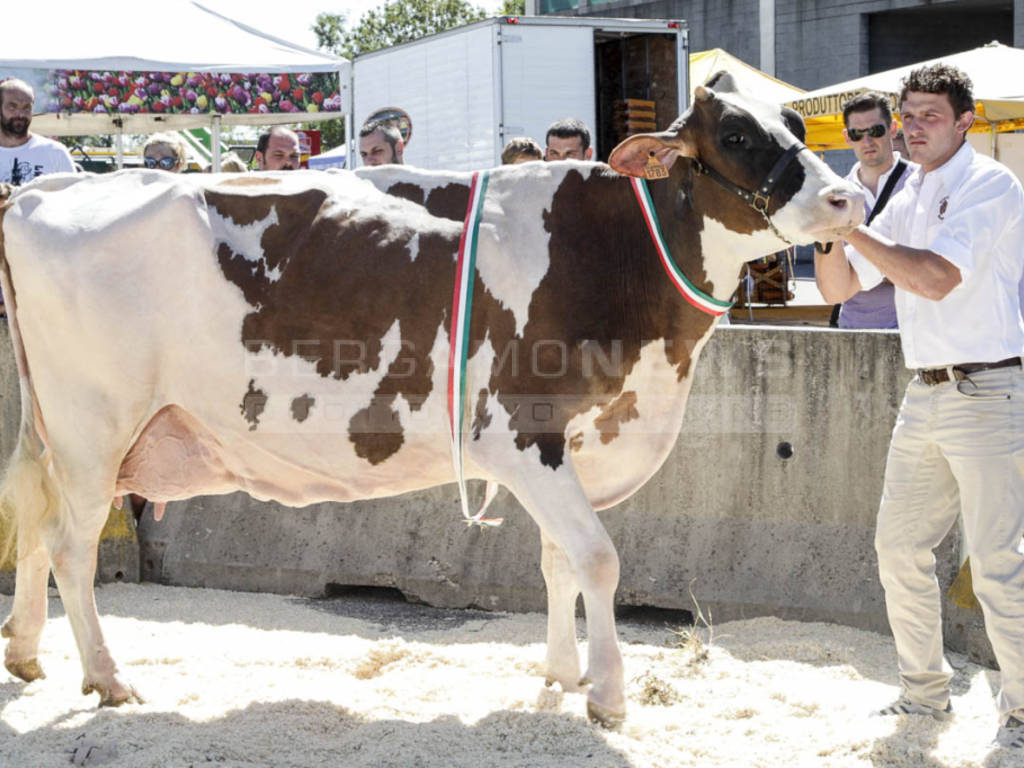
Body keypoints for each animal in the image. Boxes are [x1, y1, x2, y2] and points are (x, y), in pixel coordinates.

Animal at [0, 75, 864, 724]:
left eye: (797, 121)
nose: (847, 201)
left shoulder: (574, 442)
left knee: (36, 525)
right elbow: (597, 557)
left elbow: (558, 560)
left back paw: (29, 653)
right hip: (92, 427)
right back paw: (109, 678)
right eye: (738, 137)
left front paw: (562, 676)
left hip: (57, 432)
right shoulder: (520, 431)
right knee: (72, 545)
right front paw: (610, 697)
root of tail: (47, 191)